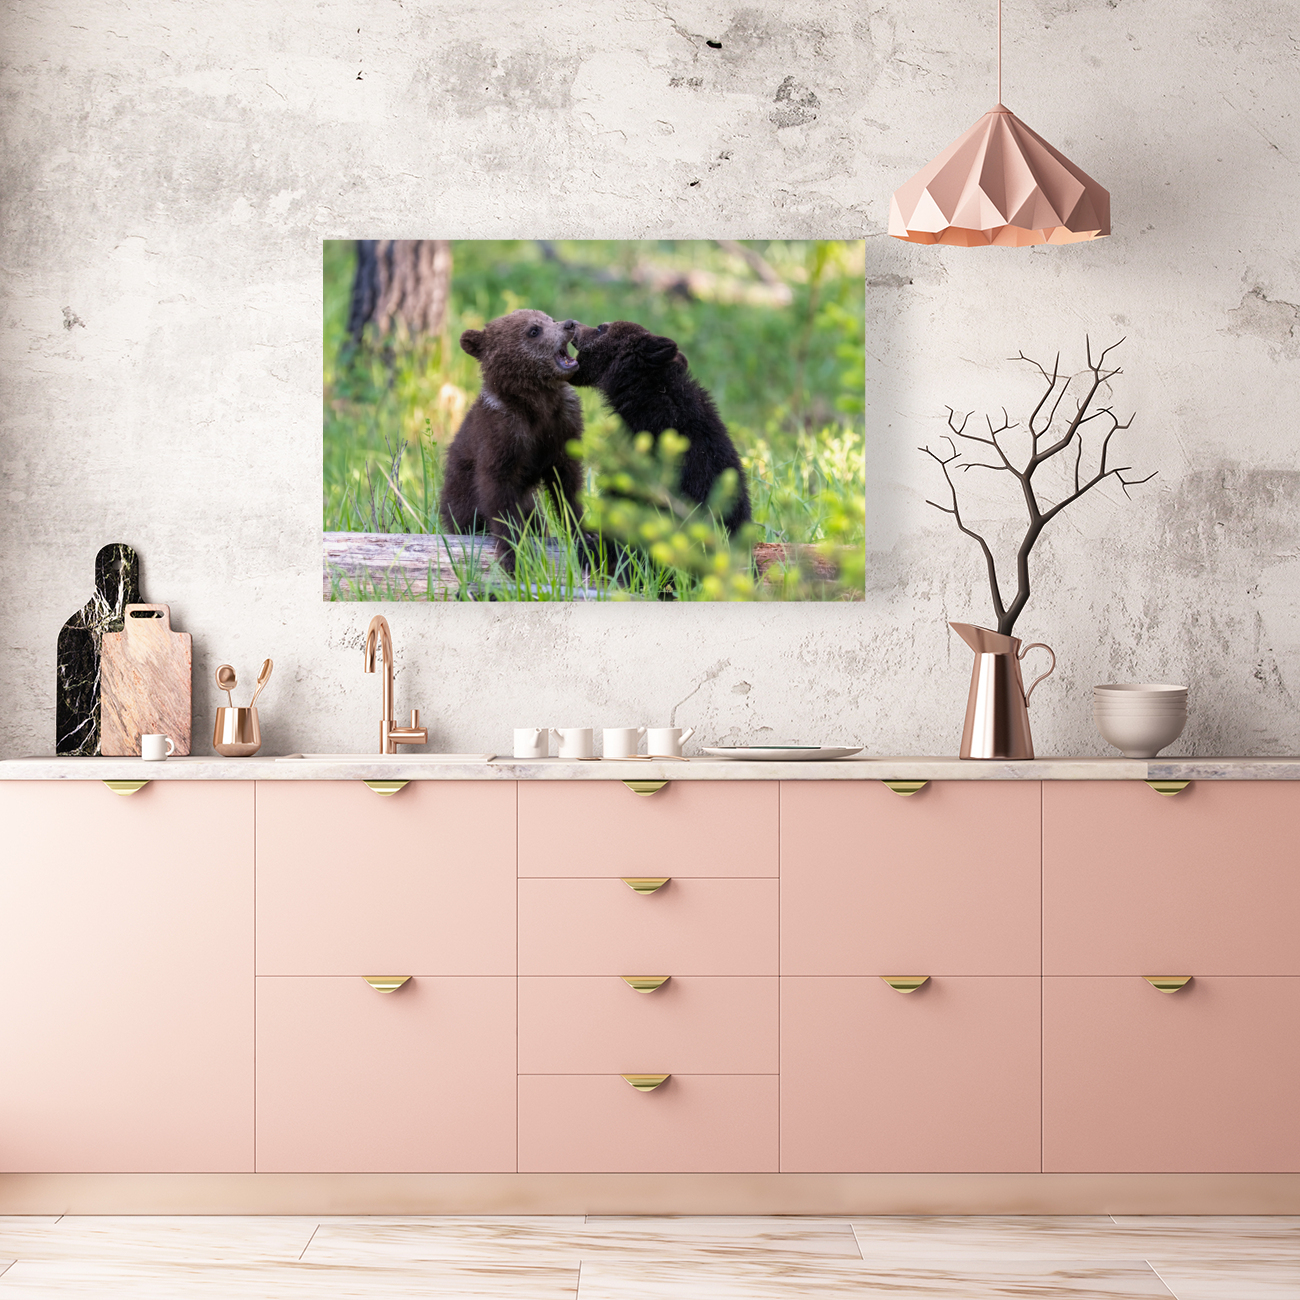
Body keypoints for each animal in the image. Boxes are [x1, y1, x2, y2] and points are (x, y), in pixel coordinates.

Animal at [439, 309, 585, 574]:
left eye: (549, 318)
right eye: (533, 330)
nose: (570, 324)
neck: (537, 403)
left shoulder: (563, 426)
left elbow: (568, 485)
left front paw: (585, 533)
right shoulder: (502, 435)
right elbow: (498, 494)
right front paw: (514, 555)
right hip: (460, 497)